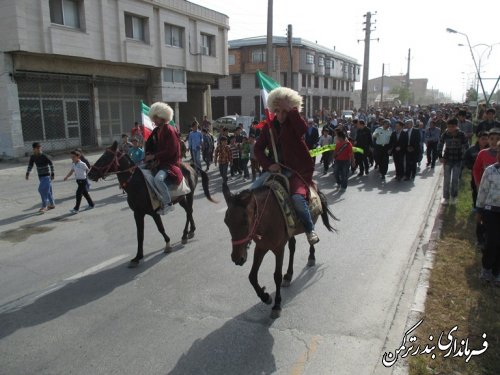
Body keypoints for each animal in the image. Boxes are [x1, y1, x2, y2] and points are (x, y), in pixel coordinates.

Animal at [224, 182, 336, 320]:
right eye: (226, 221)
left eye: (245, 221)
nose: (237, 258)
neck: (266, 218)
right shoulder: (261, 247)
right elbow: (252, 276)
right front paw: (265, 297)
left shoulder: (278, 249)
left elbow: (277, 276)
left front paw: (277, 305)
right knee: (292, 246)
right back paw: (288, 275)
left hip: (309, 222)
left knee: (310, 237)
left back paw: (311, 256)